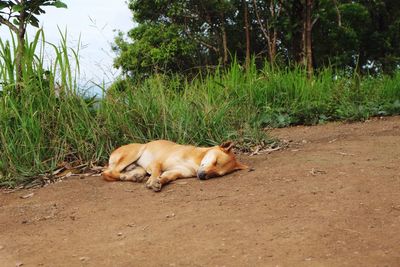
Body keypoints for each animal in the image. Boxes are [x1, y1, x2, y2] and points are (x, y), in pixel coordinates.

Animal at [102, 141, 247, 192]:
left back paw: (133, 177)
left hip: (139, 167)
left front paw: (159, 181)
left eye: (216, 174)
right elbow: (156, 172)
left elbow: (166, 177)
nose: (202, 176)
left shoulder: (175, 172)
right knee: (107, 173)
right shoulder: (157, 163)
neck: (195, 162)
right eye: (215, 162)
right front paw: (153, 181)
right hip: (134, 153)